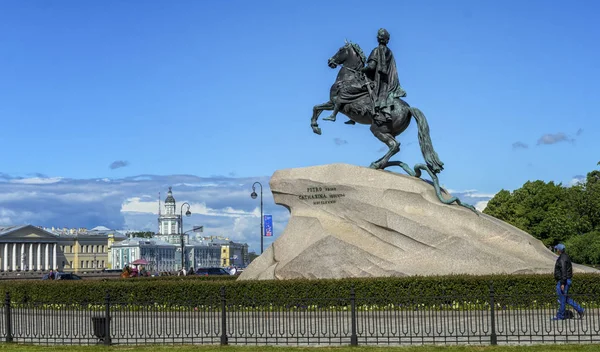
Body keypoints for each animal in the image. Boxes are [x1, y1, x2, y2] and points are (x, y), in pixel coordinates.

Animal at [312, 41, 476, 212]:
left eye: (340, 50)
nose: (330, 61)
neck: (348, 79)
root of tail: (409, 108)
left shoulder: (335, 102)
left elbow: (322, 107)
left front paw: (321, 123)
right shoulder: (330, 102)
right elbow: (316, 108)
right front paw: (316, 127)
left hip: (377, 129)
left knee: (394, 145)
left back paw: (377, 164)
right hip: (389, 131)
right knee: (395, 146)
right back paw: (378, 163)